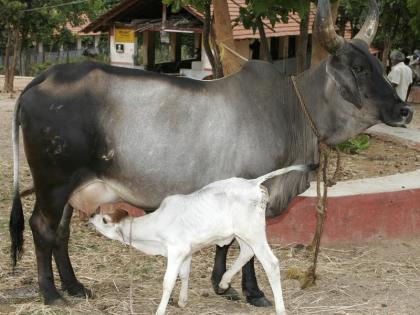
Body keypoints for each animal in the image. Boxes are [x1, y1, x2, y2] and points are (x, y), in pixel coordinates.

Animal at [90, 164, 314, 314]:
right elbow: (184, 274)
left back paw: (280, 308)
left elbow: (168, 281)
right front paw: (182, 301)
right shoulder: (186, 251)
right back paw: (223, 283)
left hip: (253, 232)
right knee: (246, 252)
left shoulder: (177, 250)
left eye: (105, 220)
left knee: (271, 264)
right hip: (243, 233)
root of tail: (252, 183)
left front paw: (161, 309)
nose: (91, 214)